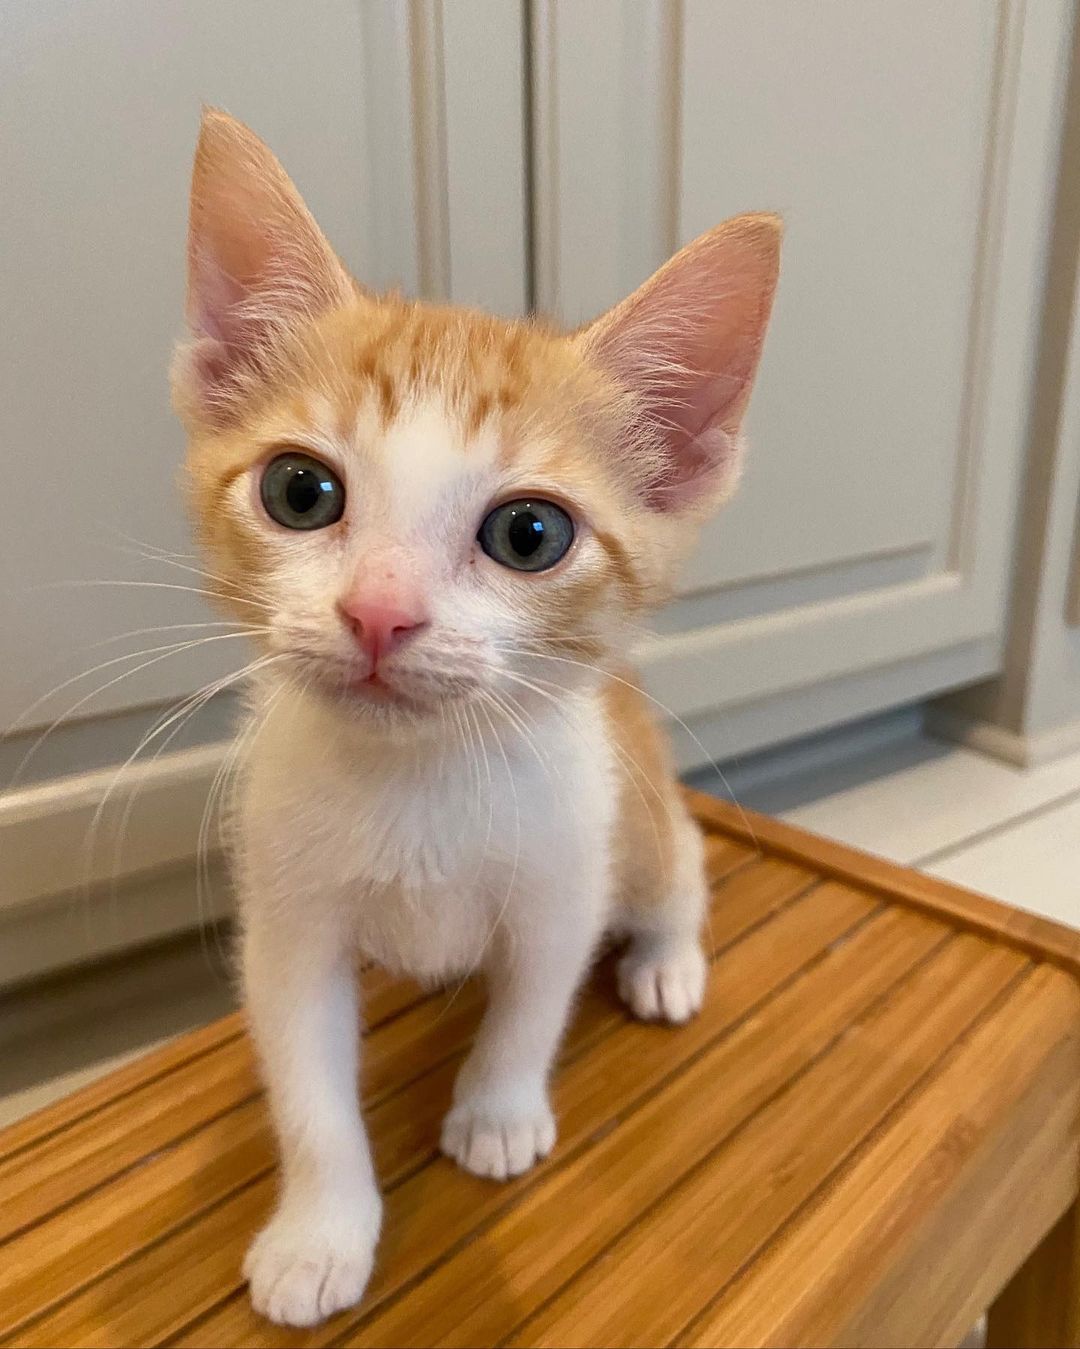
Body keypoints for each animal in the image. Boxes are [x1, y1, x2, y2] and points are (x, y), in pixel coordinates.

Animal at [172, 107, 782, 1327]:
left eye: (529, 534)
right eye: (299, 491)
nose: (379, 612)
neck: (421, 778)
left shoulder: (561, 882)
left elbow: (530, 1006)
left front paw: (496, 1113)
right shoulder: (288, 920)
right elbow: (308, 1083)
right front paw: (320, 1230)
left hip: (639, 819)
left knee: (682, 874)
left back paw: (667, 962)